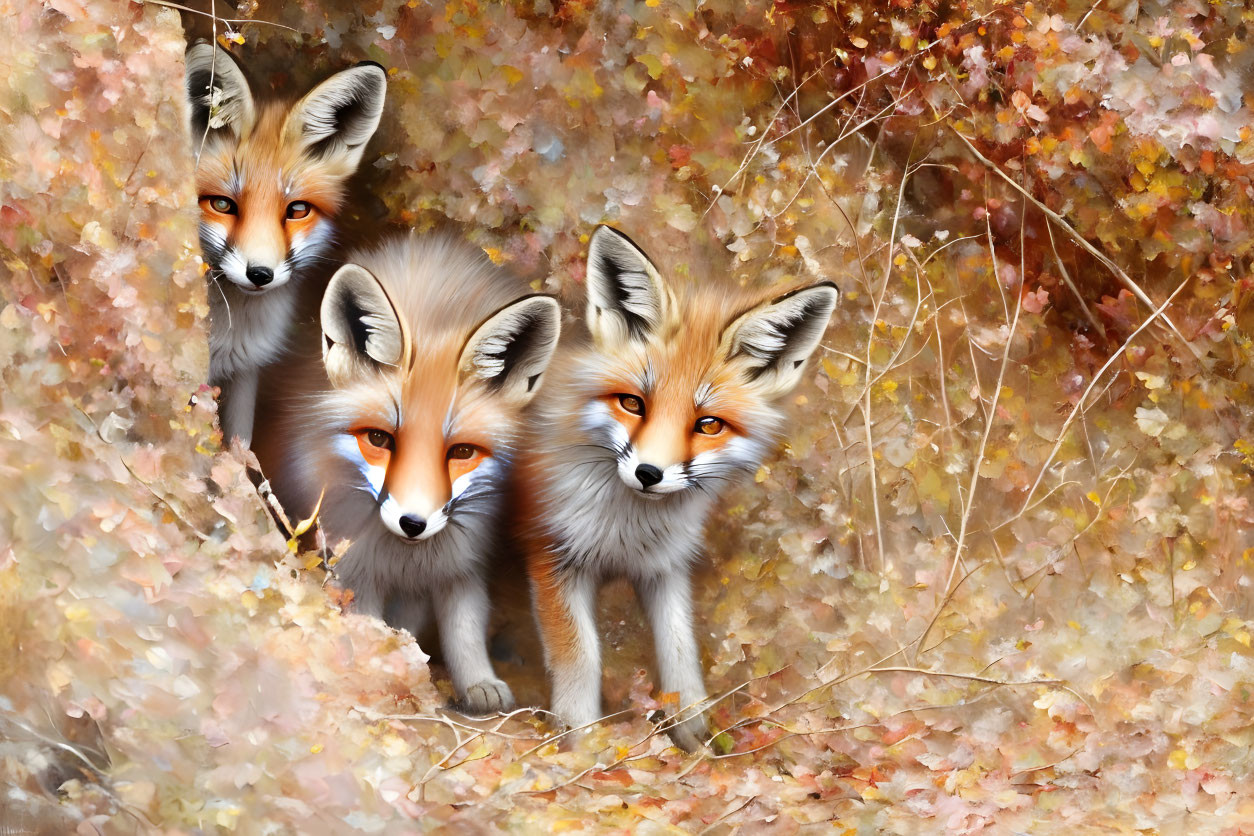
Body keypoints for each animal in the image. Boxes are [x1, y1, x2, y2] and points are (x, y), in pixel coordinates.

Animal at [183, 40, 383, 443]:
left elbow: (240, 442)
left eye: (297, 210)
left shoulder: (245, 371)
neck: (231, 335)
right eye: (222, 204)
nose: (260, 274)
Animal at [254, 234, 559, 711]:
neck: (406, 557)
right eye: (380, 439)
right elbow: (370, 628)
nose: (413, 523)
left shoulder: (458, 564)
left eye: (462, 451)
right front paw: (382, 672)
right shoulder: (354, 569)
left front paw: (477, 683)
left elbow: (462, 628)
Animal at [514, 225, 837, 747]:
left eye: (708, 425)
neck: (625, 532)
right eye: (633, 403)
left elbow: (683, 660)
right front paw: (582, 744)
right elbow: (581, 660)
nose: (649, 474)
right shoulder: (553, 558)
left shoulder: (664, 568)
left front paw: (697, 742)